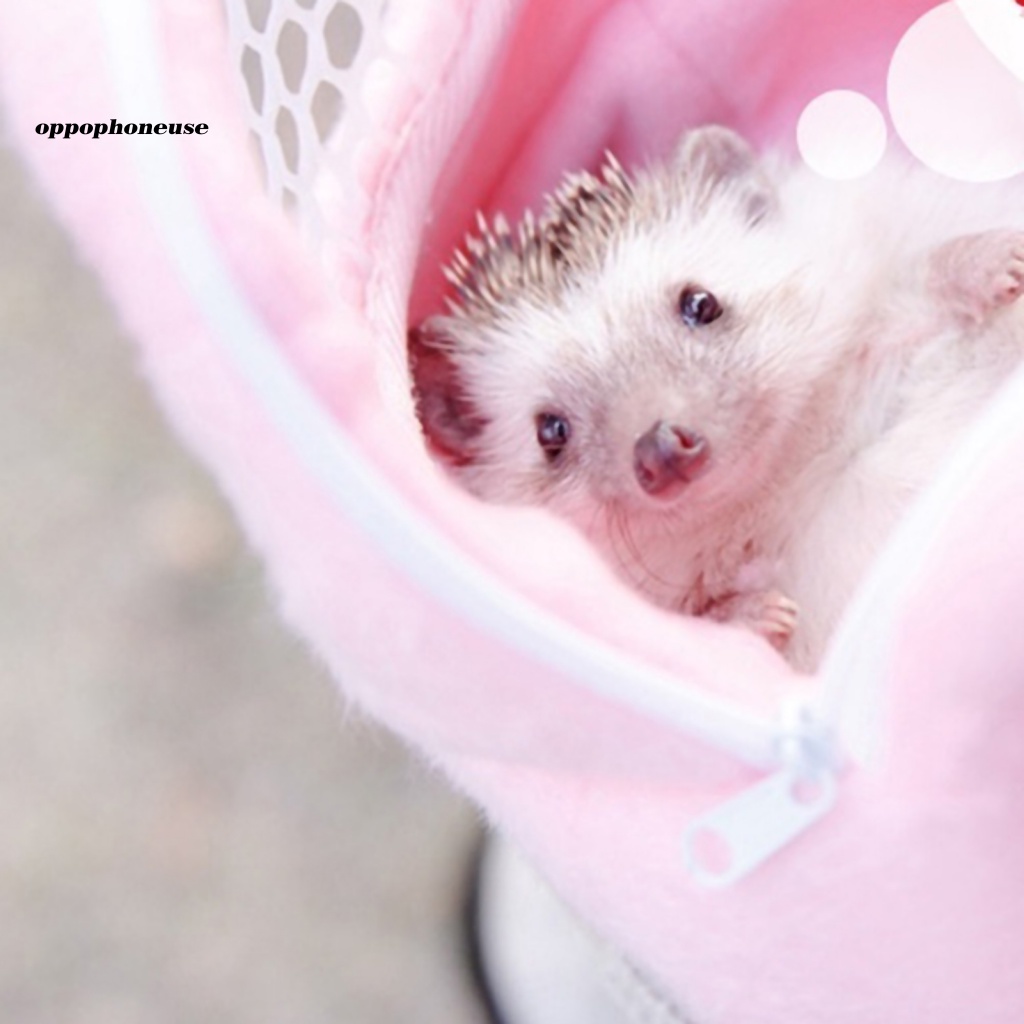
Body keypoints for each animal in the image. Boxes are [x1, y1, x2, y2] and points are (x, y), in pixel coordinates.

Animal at [409, 126, 1024, 670]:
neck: (774, 491)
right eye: (550, 430)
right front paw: (757, 613)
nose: (662, 448)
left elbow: (912, 288)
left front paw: (993, 259)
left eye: (701, 303)